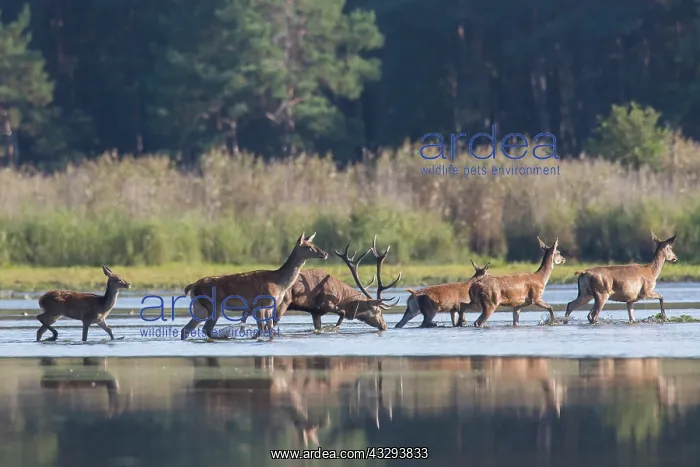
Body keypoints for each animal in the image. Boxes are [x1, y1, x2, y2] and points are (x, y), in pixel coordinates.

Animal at [180, 232, 328, 340]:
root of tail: (192, 286)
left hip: (200, 307)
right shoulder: (260, 303)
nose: (325, 253)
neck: (279, 284)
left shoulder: (270, 305)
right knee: (206, 328)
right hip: (212, 305)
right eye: (308, 247)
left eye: (313, 243)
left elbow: (269, 329)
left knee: (187, 329)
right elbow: (262, 328)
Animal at [271, 235, 402, 332]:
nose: (385, 326)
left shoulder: (315, 312)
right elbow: (342, 313)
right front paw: (336, 327)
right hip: (282, 302)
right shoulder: (325, 303)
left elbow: (318, 326)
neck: (341, 295)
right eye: (378, 311)